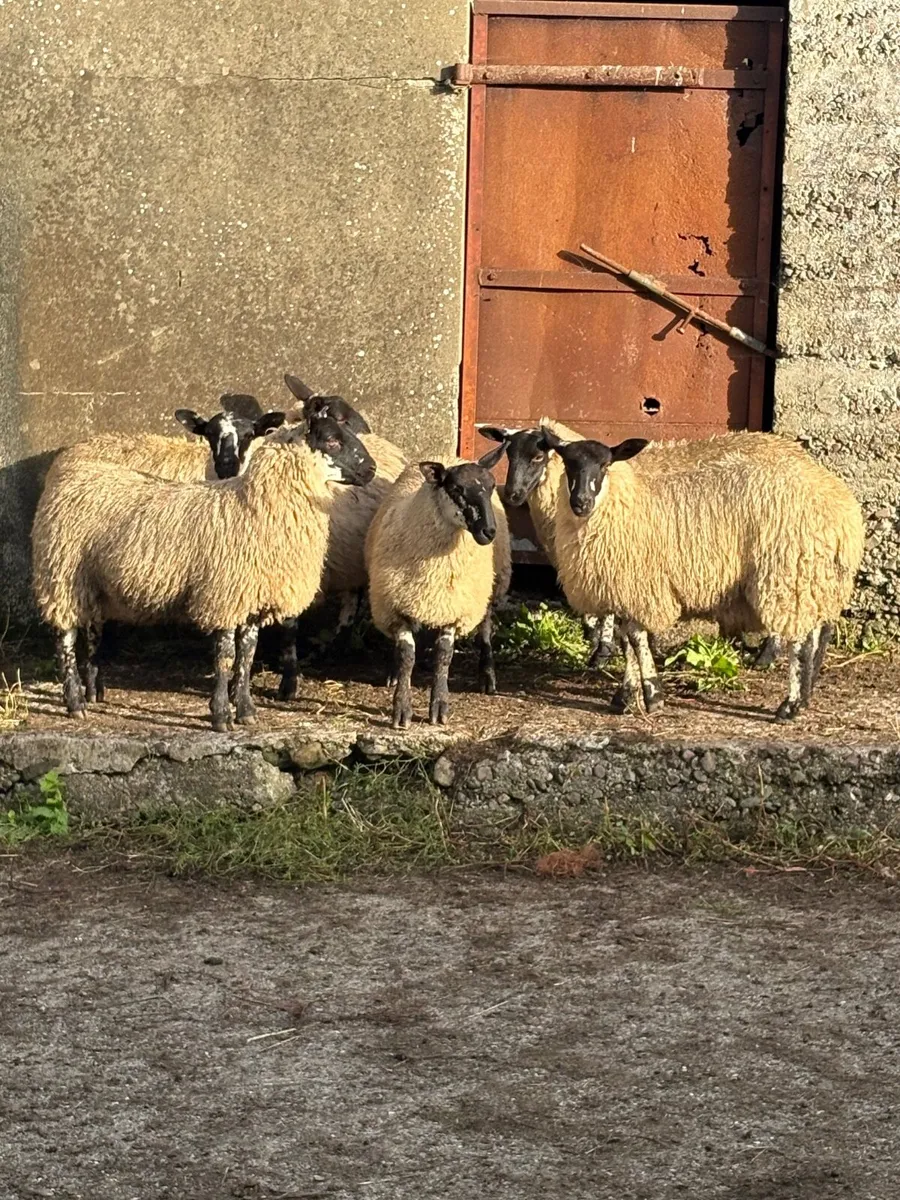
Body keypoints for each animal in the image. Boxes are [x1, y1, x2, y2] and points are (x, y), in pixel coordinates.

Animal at [32, 415, 376, 731]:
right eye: (332, 440)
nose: (372, 469)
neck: (255, 507)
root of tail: (70, 474)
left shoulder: (251, 599)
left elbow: (247, 657)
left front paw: (246, 710)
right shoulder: (224, 596)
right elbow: (225, 658)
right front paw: (221, 716)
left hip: (92, 583)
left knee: (92, 631)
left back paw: (93, 691)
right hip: (61, 575)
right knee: (64, 640)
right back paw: (75, 702)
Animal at [365, 444, 511, 728]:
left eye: (491, 487)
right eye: (457, 490)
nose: (489, 532)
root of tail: (450, 456)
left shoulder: (455, 609)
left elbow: (444, 655)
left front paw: (439, 707)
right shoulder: (395, 606)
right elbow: (406, 655)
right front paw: (401, 708)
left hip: (490, 586)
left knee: (486, 629)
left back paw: (487, 676)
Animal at [541, 427, 864, 721]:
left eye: (605, 465)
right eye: (568, 464)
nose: (580, 502)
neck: (626, 504)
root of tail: (844, 515)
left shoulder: (643, 585)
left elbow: (634, 637)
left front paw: (652, 695)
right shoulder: (627, 590)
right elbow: (628, 639)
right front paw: (626, 695)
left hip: (790, 572)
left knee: (800, 640)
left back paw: (790, 705)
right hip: (814, 576)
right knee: (817, 631)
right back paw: (806, 694)